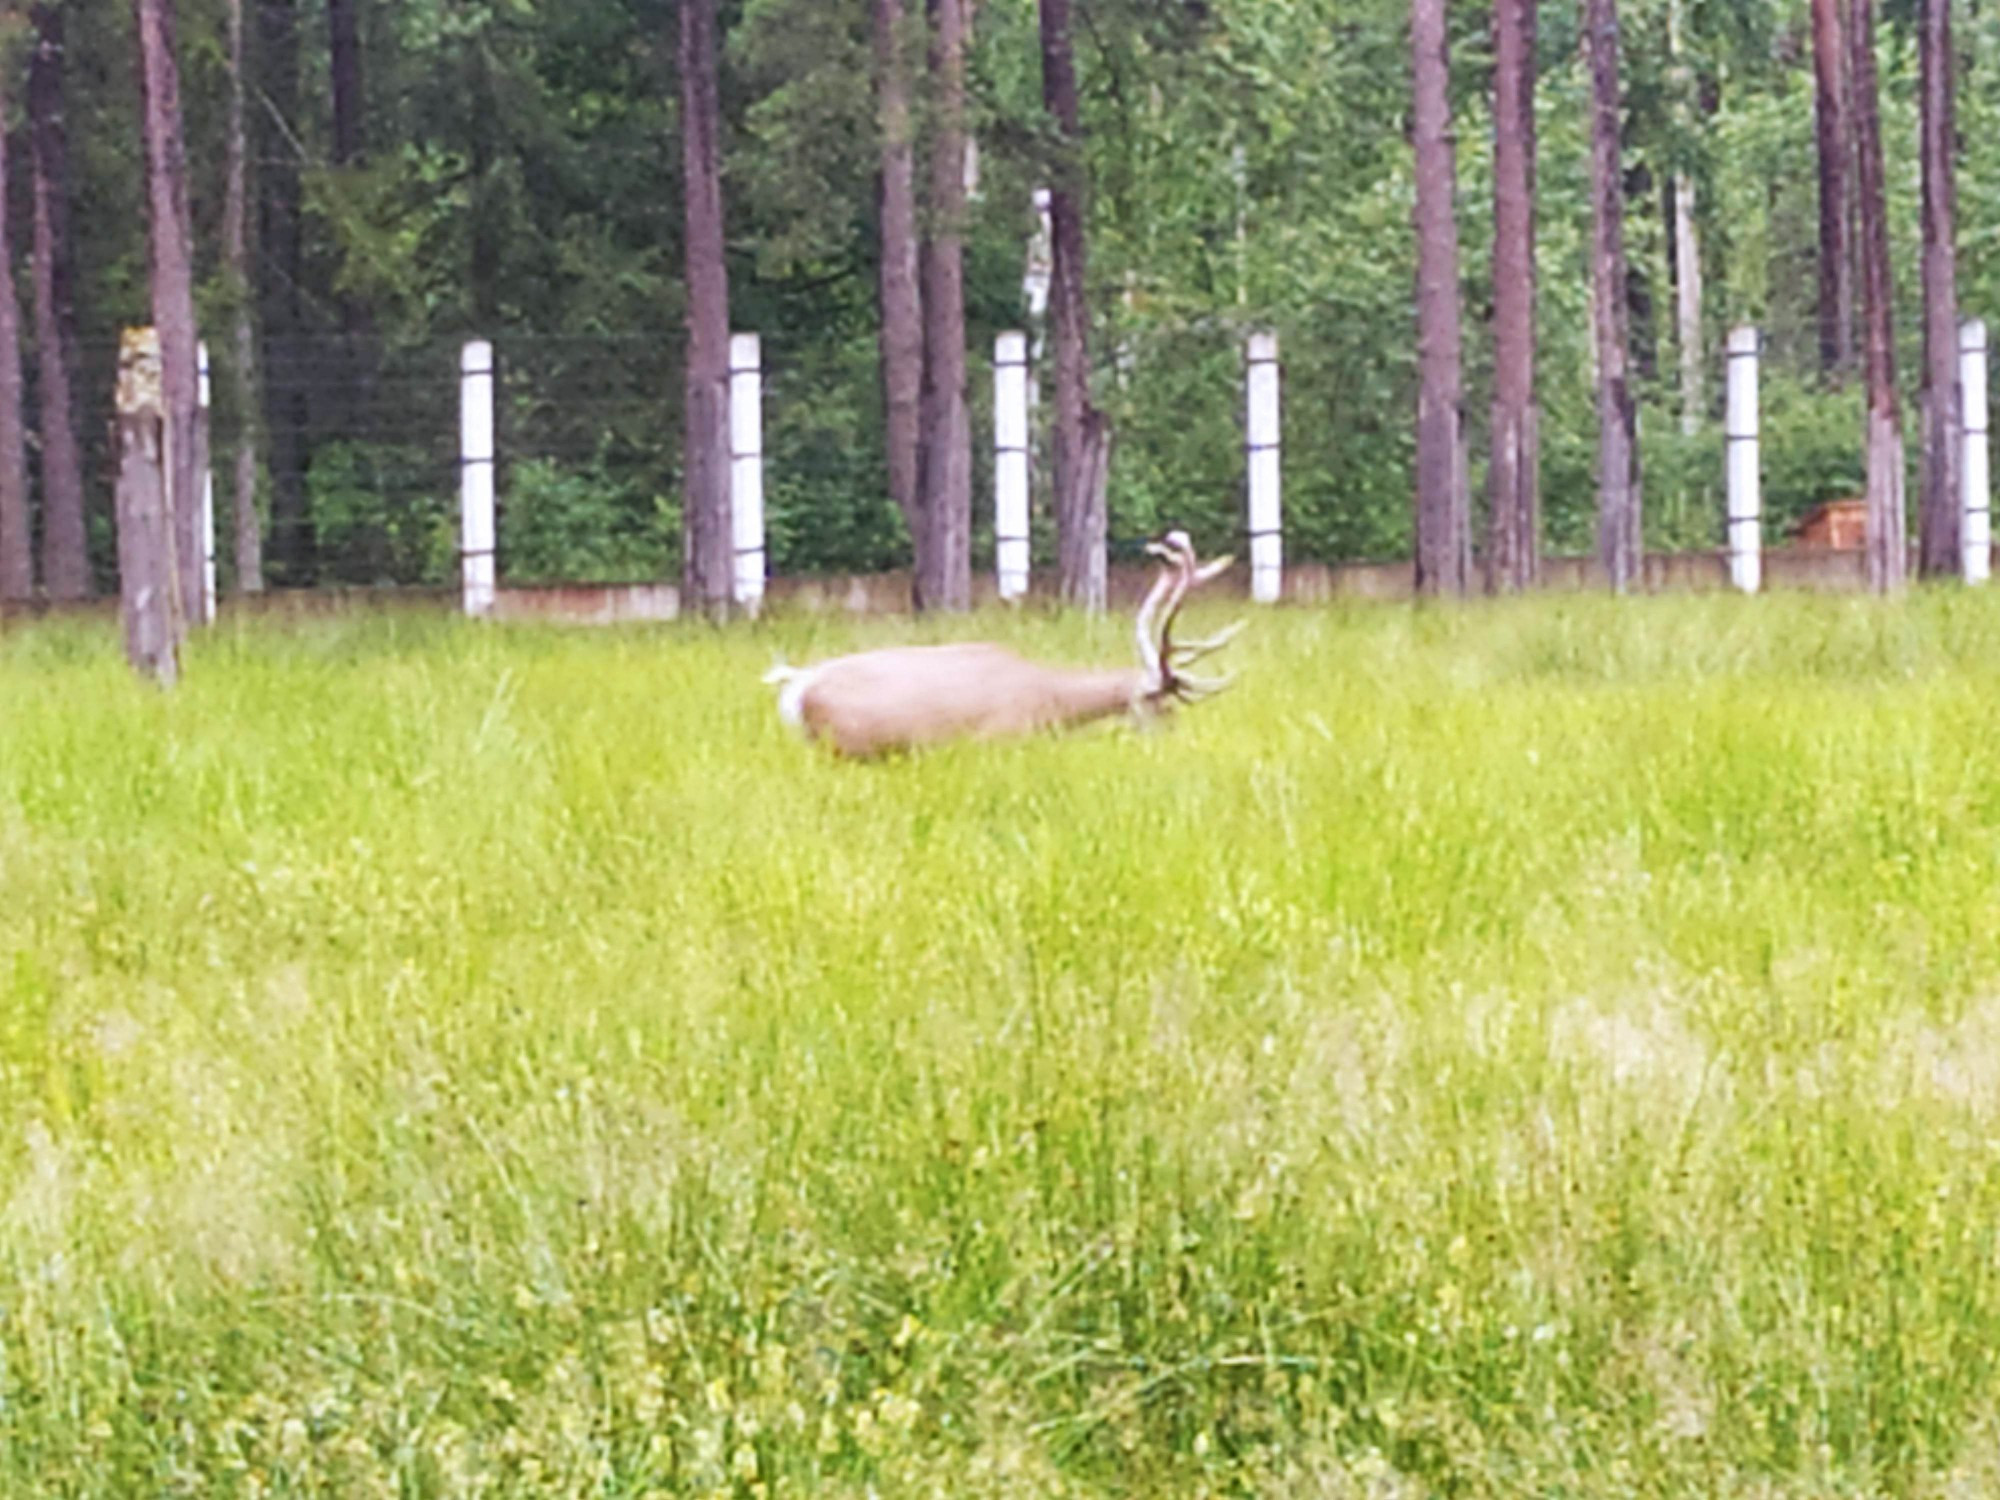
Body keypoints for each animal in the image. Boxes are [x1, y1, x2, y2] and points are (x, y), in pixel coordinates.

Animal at [760, 532, 1240, 764]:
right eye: (1161, 706)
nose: (1175, 738)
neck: (1046, 701)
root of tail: (795, 690)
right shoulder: (1002, 737)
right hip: (844, 745)